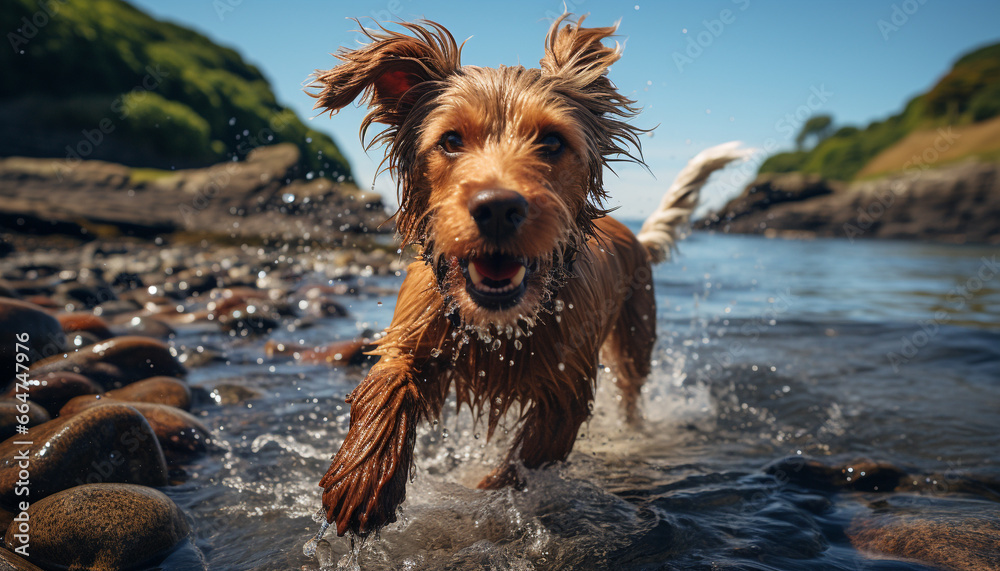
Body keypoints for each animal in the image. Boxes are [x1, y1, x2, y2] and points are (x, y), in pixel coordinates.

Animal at [308, 14, 748, 540]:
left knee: (631, 394)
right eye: (451, 140)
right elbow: (389, 380)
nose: (497, 208)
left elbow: (518, 468)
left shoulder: (566, 391)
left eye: (552, 142)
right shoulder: (415, 329)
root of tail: (635, 235)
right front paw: (363, 477)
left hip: (635, 339)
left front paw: (475, 500)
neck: (500, 324)